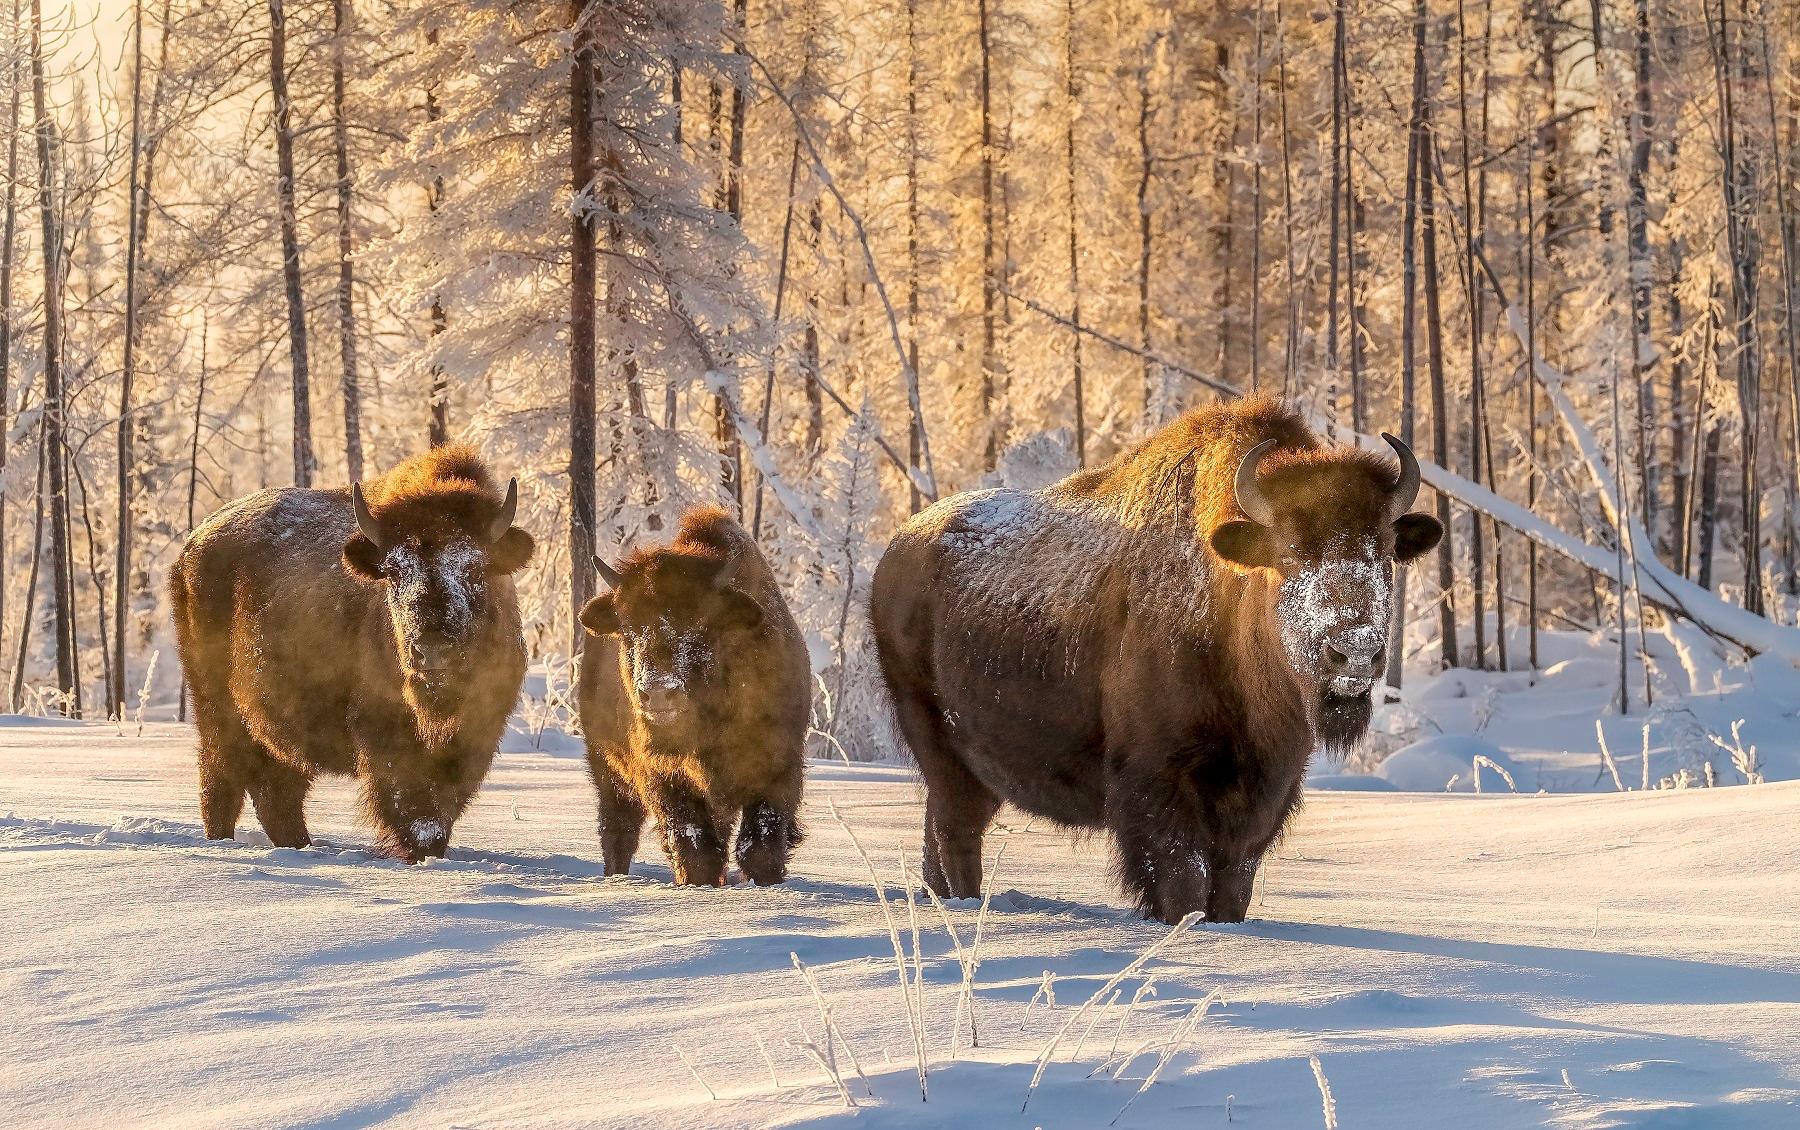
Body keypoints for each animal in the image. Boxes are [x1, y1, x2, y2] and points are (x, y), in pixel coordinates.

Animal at [170, 445, 535, 860]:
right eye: (393, 572)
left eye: (475, 569)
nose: (431, 651)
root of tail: (192, 546)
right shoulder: (384, 732)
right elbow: (411, 804)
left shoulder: (479, 730)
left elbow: (443, 803)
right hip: (215, 709)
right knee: (223, 778)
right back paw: (225, 842)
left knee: (277, 790)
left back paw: (300, 846)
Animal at [577, 505, 809, 886]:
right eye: (627, 628)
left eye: (703, 624)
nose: (658, 693)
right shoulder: (664, 776)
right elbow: (695, 847)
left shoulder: (778, 768)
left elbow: (759, 846)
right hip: (607, 769)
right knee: (618, 831)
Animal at [871, 397, 1443, 923]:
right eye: (1292, 550)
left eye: (1383, 549)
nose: (1356, 650)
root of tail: (897, 550)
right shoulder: (1160, 780)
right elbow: (1183, 876)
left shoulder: (1267, 789)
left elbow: (1233, 882)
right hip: (940, 747)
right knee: (957, 828)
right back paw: (968, 905)